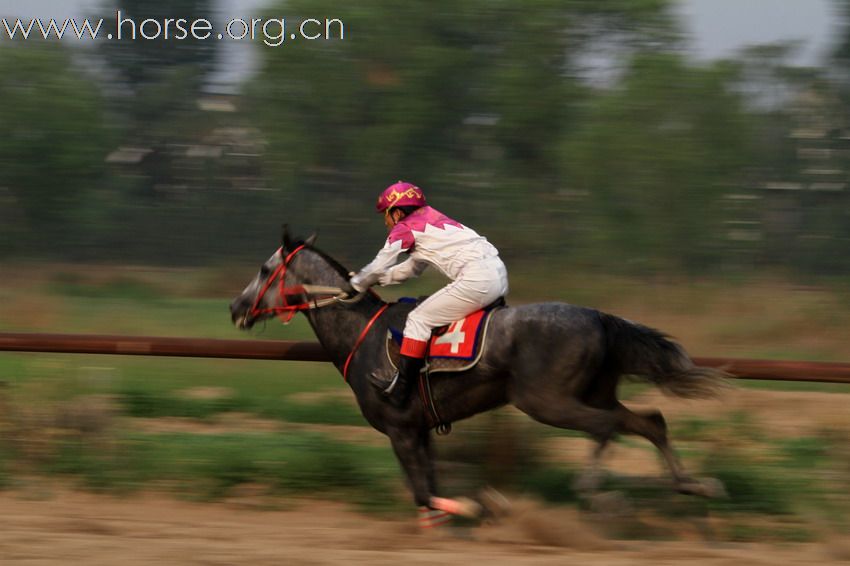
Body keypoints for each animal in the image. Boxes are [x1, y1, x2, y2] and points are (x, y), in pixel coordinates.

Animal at [229, 229, 724, 524]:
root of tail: (600, 317)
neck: (362, 335)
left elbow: (425, 495)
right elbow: (426, 489)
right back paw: (695, 484)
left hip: (547, 401)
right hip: (595, 393)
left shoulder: (400, 429)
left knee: (605, 427)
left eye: (265, 269)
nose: (235, 307)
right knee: (649, 421)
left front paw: (475, 505)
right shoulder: (418, 431)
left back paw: (599, 495)